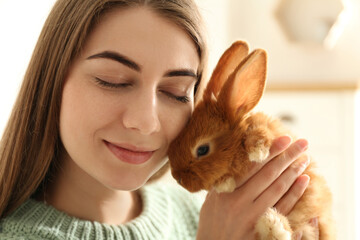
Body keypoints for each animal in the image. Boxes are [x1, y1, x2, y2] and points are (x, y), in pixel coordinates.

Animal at [168, 40, 334, 239]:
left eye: (202, 150)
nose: (178, 179)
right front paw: (225, 184)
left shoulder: (271, 132)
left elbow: (260, 133)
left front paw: (257, 152)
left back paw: (274, 226)